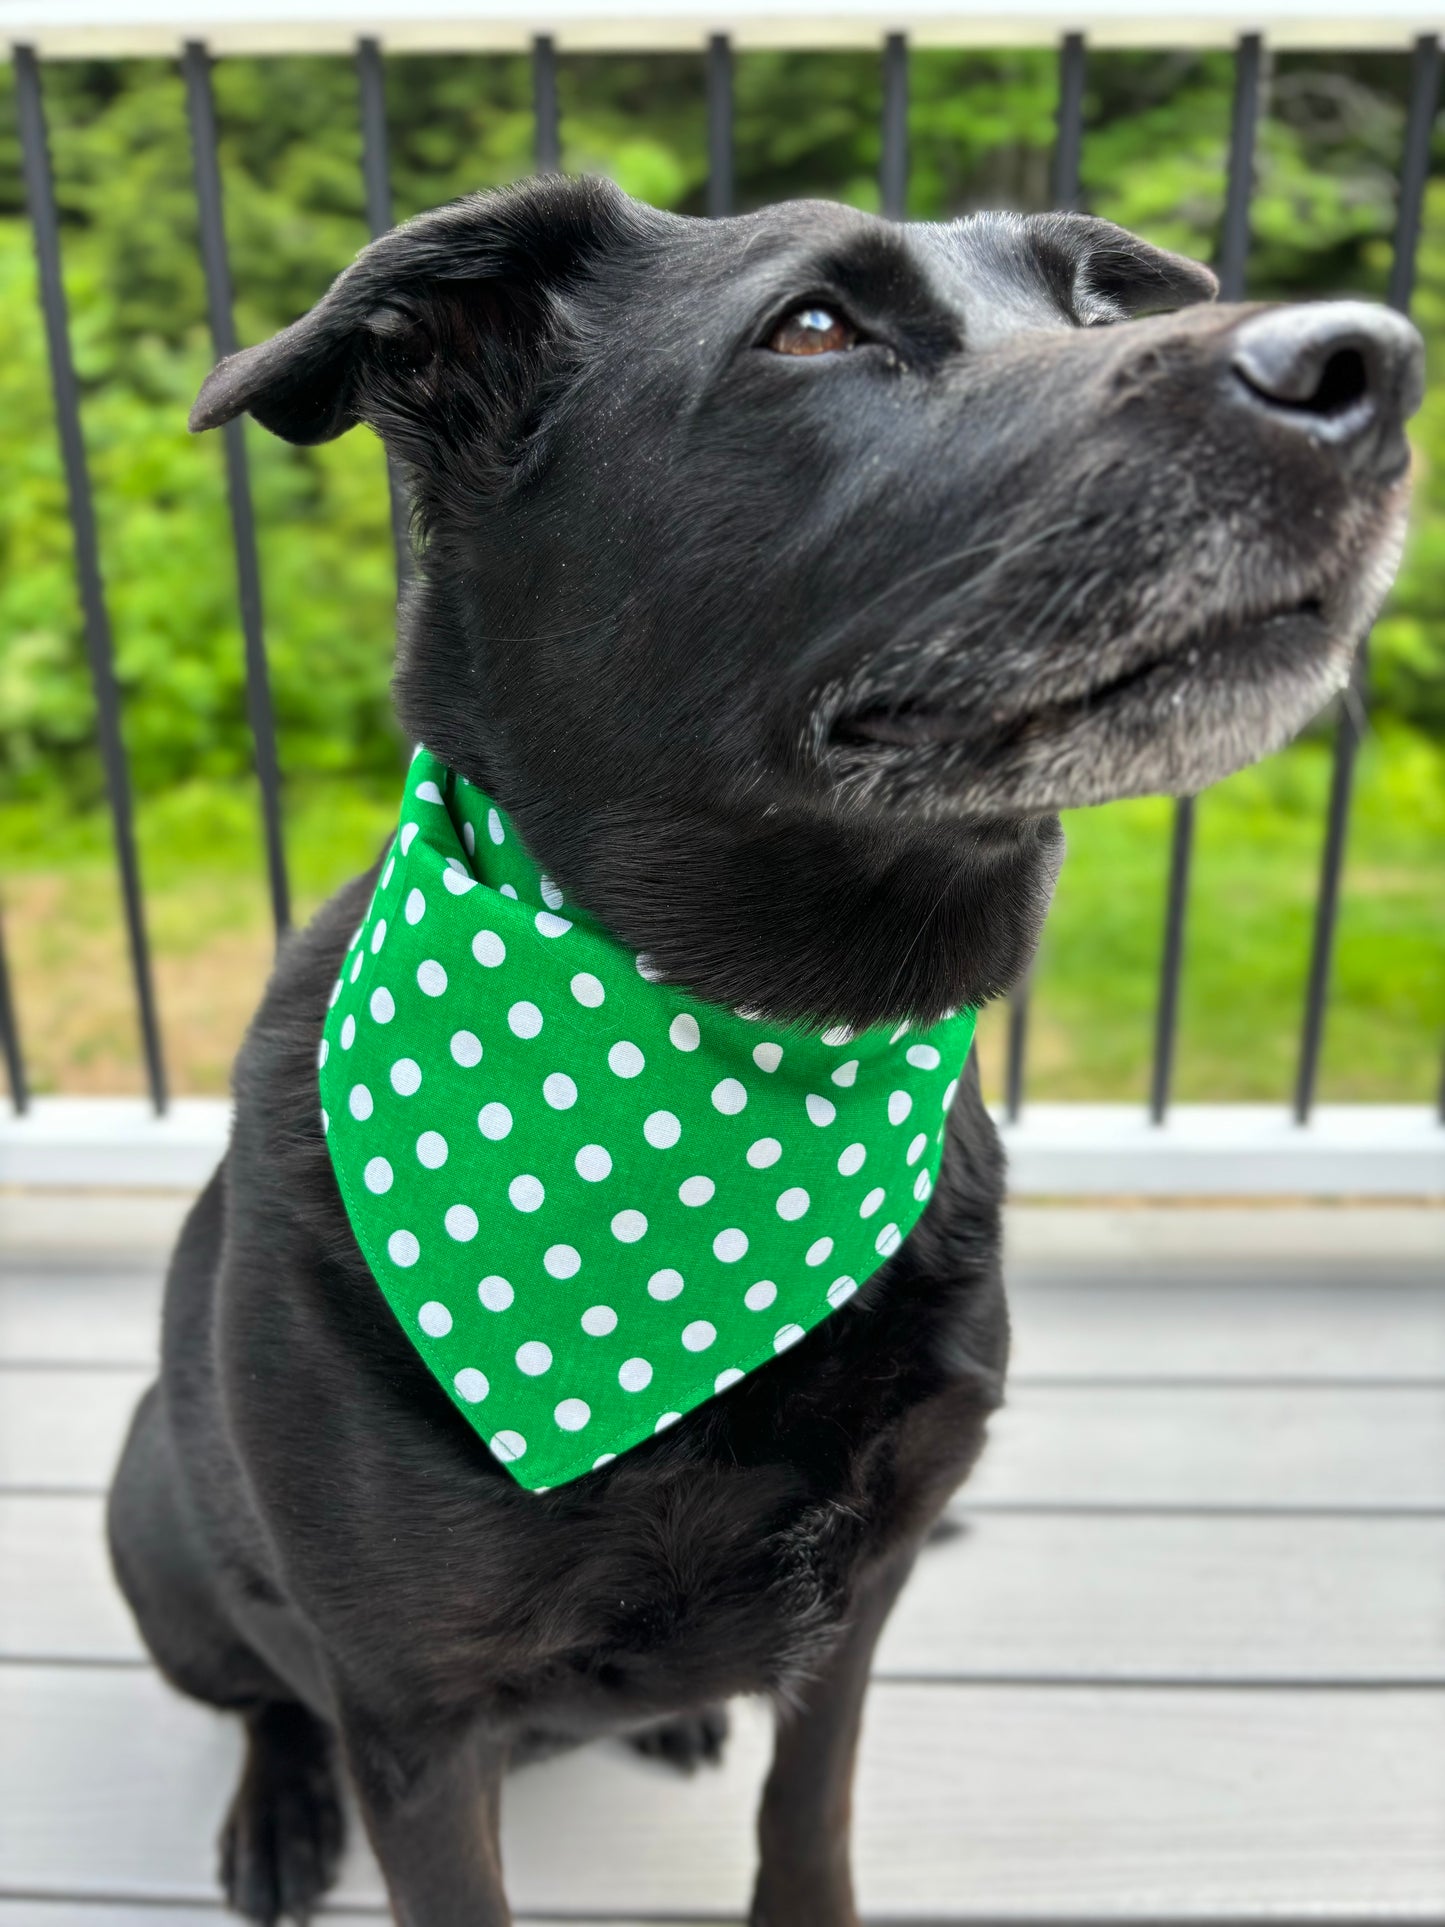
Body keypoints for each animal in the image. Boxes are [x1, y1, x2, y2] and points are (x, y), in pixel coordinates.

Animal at [107, 173, 1418, 1919]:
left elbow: (809, 1811)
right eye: (809, 327)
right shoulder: (412, 1714)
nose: (1371, 364)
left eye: (1089, 306)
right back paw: (274, 1805)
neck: (749, 1062)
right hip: (153, 1516)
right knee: (260, 1693)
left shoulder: (859, 1596)